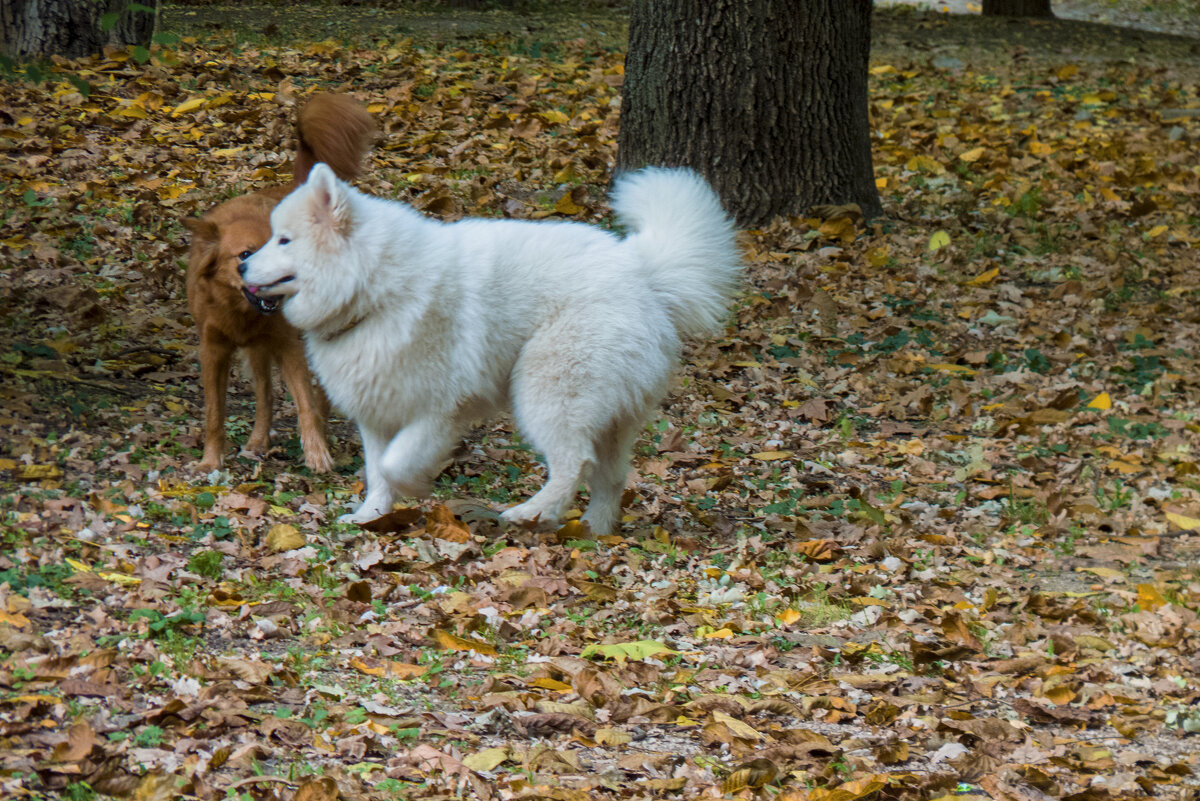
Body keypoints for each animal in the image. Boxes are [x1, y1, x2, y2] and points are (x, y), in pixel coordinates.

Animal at [182, 92, 374, 472]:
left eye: (285, 246)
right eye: (244, 254)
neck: (240, 311)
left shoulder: (288, 345)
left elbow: (305, 403)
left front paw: (317, 453)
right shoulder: (213, 350)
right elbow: (214, 414)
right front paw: (210, 461)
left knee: (318, 393)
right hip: (259, 351)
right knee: (265, 394)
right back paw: (258, 441)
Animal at [238, 163, 734, 534]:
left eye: (284, 240)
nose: (241, 264)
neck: (378, 288)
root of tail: (641, 269)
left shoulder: (437, 411)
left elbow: (396, 464)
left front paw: (416, 489)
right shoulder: (378, 412)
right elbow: (377, 471)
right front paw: (371, 516)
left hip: (546, 392)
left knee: (573, 462)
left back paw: (533, 512)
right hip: (610, 414)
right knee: (609, 476)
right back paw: (593, 529)